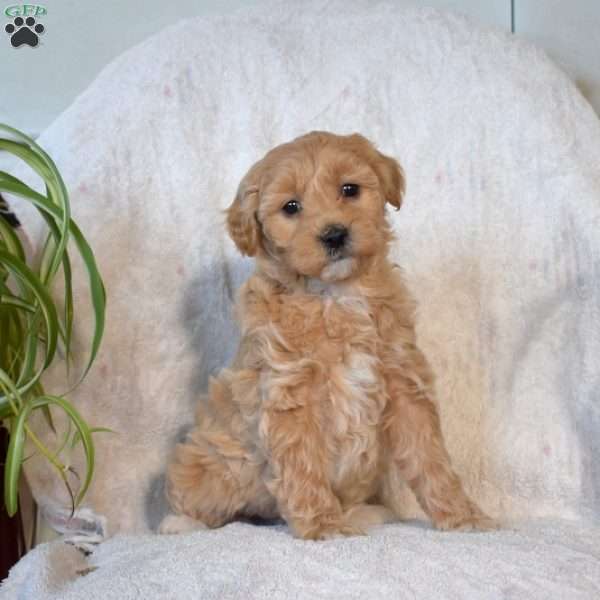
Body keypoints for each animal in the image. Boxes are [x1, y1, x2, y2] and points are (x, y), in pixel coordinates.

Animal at [159, 131, 492, 540]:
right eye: (291, 207)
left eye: (349, 189)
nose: (334, 234)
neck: (335, 295)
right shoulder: (289, 394)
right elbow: (303, 466)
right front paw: (323, 524)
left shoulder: (403, 380)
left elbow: (430, 459)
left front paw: (462, 515)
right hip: (214, 464)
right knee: (193, 495)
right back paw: (180, 523)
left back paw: (366, 512)